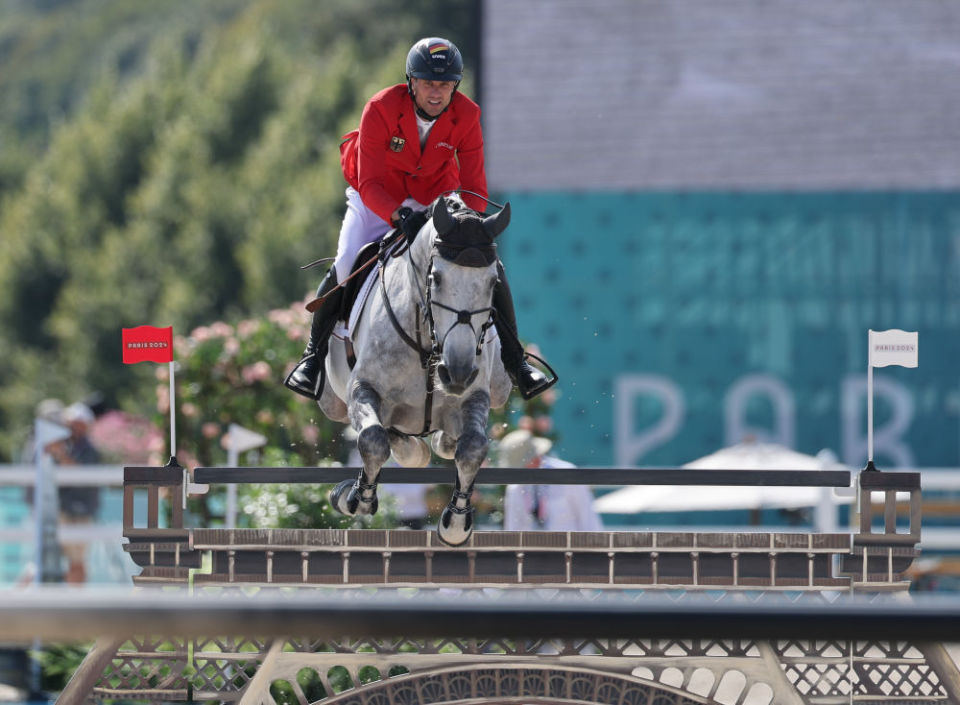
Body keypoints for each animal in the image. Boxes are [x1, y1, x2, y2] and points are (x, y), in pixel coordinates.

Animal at [318, 195, 512, 548]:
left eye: (494, 283)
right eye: (435, 278)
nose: (457, 373)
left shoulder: (475, 396)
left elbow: (473, 447)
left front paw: (455, 524)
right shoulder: (362, 389)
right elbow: (372, 439)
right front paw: (355, 498)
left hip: (500, 388)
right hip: (331, 402)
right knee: (386, 431)